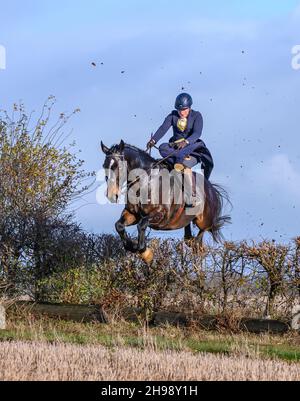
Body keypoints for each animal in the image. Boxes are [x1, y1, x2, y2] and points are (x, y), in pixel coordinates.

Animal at [101, 139, 230, 264]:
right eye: (104, 166)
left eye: (118, 166)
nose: (111, 195)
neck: (145, 182)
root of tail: (211, 188)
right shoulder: (132, 214)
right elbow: (119, 226)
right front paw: (133, 247)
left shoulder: (160, 214)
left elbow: (142, 225)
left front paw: (146, 253)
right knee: (193, 243)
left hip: (203, 222)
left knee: (198, 242)